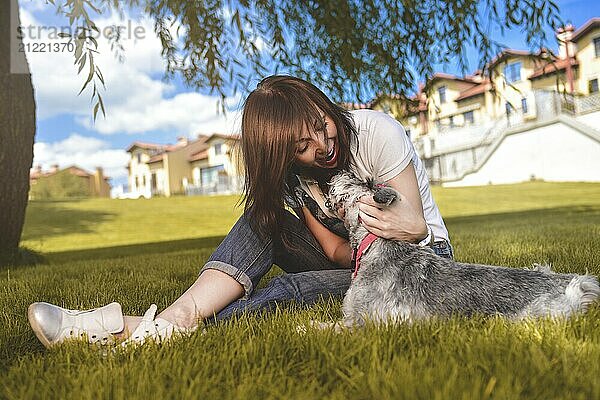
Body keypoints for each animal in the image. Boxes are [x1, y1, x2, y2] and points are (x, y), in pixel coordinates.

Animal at [328, 170, 600, 326]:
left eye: (363, 181)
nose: (340, 172)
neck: (375, 242)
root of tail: (581, 285)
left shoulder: (360, 323)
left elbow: (325, 328)